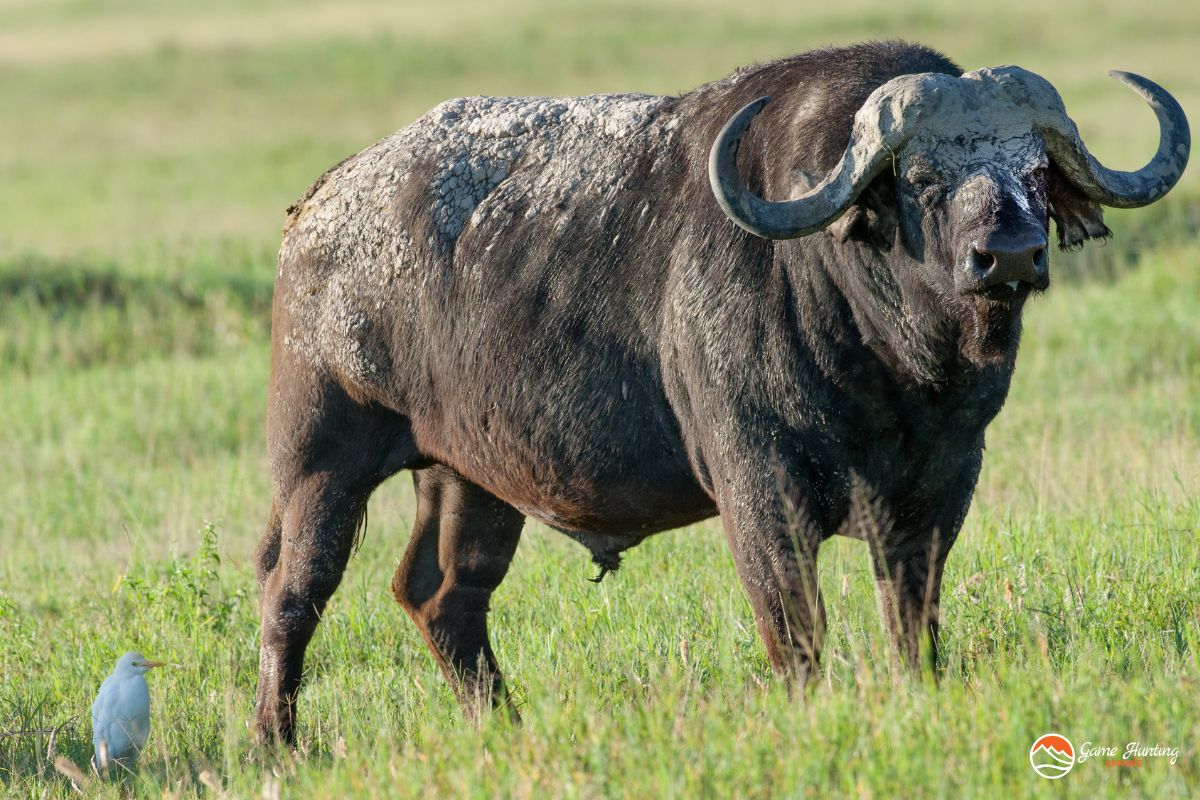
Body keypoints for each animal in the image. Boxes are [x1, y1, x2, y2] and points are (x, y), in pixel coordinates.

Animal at [253, 41, 1189, 742]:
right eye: (921, 179)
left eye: (1033, 170)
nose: (1010, 256)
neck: (890, 368)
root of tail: (321, 206)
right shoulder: (761, 490)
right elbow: (795, 627)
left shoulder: (942, 488)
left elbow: (911, 617)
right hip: (319, 459)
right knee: (293, 592)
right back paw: (278, 743)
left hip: (468, 475)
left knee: (443, 595)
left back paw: (504, 726)